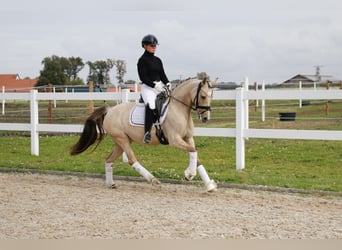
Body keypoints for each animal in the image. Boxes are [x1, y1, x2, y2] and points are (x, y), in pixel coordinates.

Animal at [70, 76, 218, 191]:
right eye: (203, 96)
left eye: (211, 96)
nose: (206, 118)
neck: (179, 108)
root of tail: (110, 110)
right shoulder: (175, 140)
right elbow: (193, 151)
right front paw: (189, 174)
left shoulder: (188, 138)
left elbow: (196, 155)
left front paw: (209, 186)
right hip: (122, 139)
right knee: (131, 160)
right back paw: (153, 180)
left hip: (121, 141)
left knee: (109, 160)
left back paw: (111, 184)